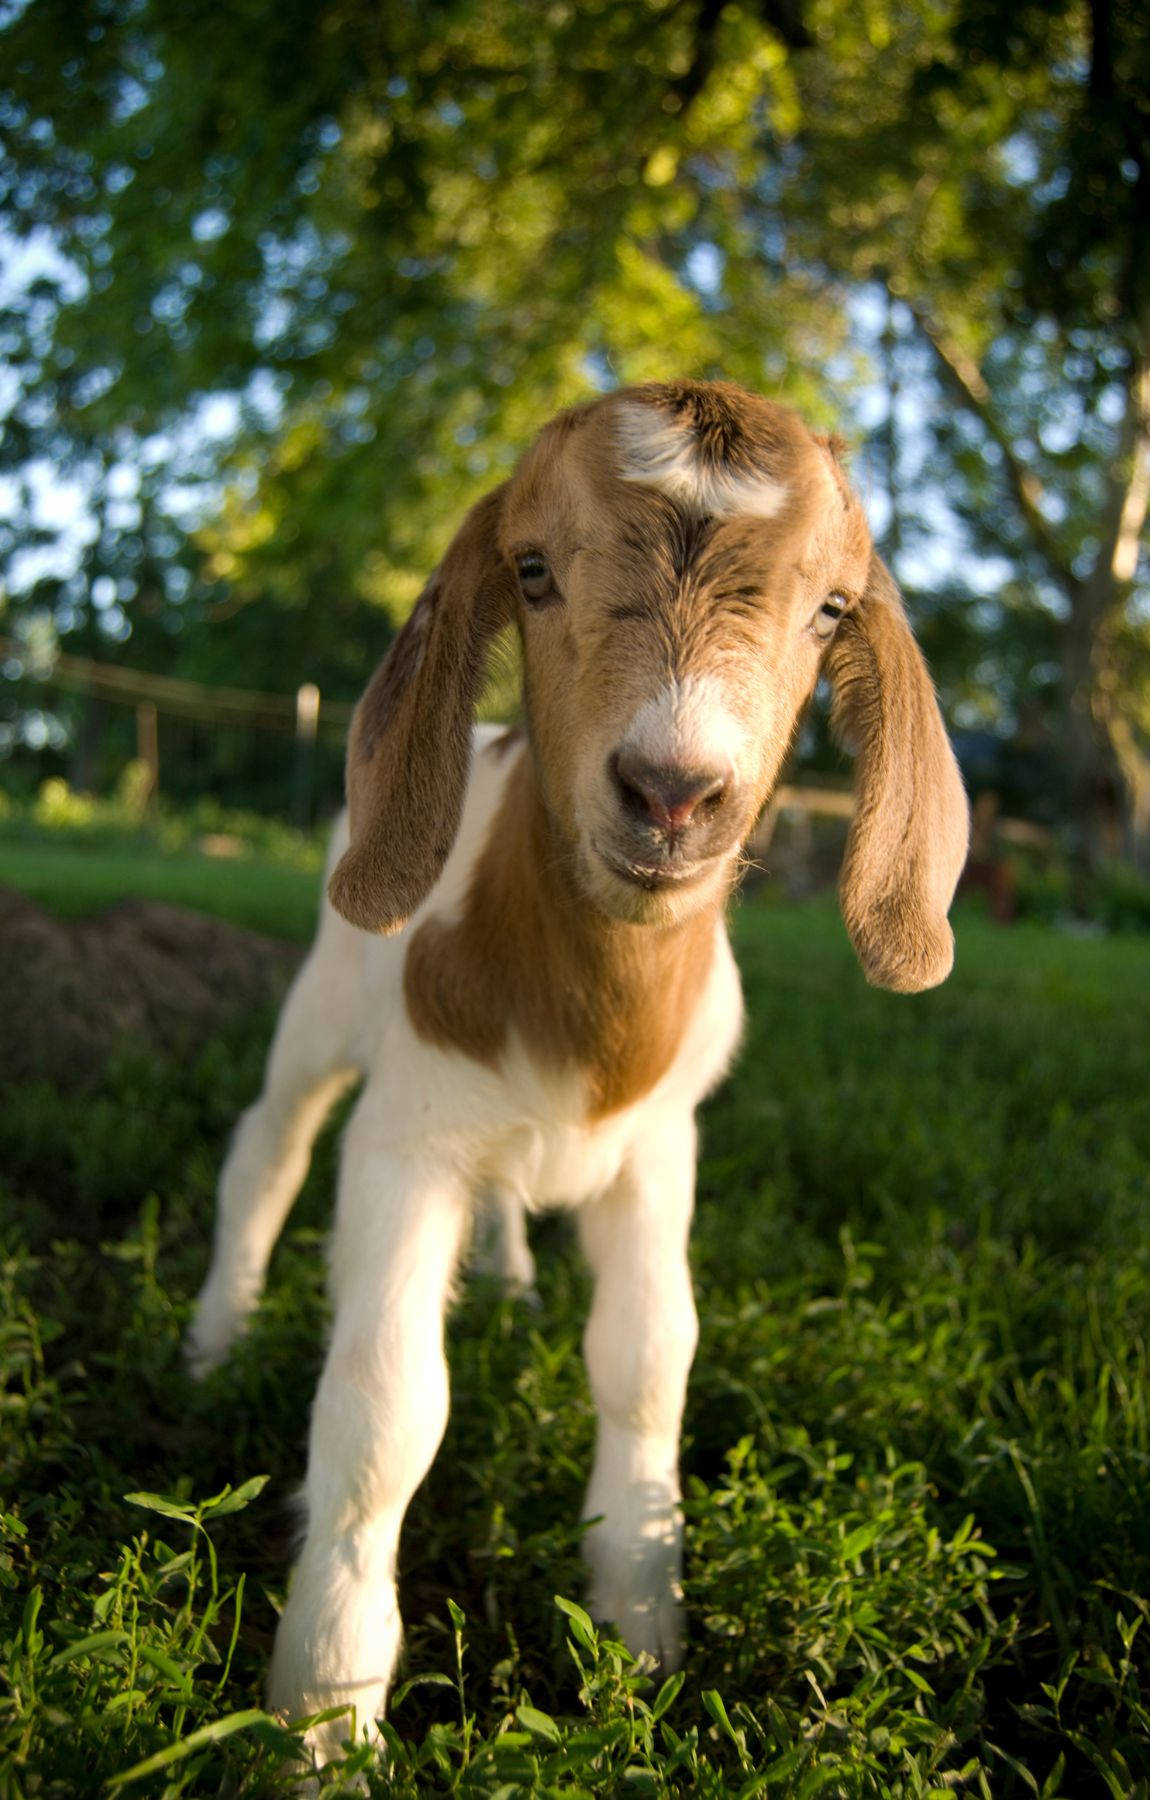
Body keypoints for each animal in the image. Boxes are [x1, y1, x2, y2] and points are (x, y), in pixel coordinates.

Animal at [187, 376, 971, 1756]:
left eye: (830, 608)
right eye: (534, 570)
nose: (671, 793)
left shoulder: (660, 1154)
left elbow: (650, 1359)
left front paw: (640, 1625)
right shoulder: (407, 1142)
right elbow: (387, 1405)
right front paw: (327, 1713)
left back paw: (505, 1284)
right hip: (324, 1003)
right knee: (265, 1150)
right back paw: (211, 1340)